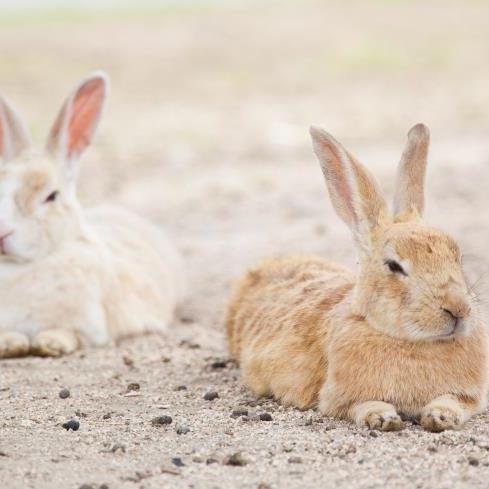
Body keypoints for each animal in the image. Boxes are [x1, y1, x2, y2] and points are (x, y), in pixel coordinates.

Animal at [0, 70, 183, 356]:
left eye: (51, 196)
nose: (2, 233)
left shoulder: (91, 328)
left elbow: (72, 334)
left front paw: (49, 343)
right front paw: (11, 344)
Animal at [226, 123, 488, 430]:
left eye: (457, 256)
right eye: (394, 265)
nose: (458, 309)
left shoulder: (470, 397)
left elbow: (453, 401)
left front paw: (440, 416)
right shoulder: (338, 399)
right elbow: (360, 405)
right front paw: (383, 418)